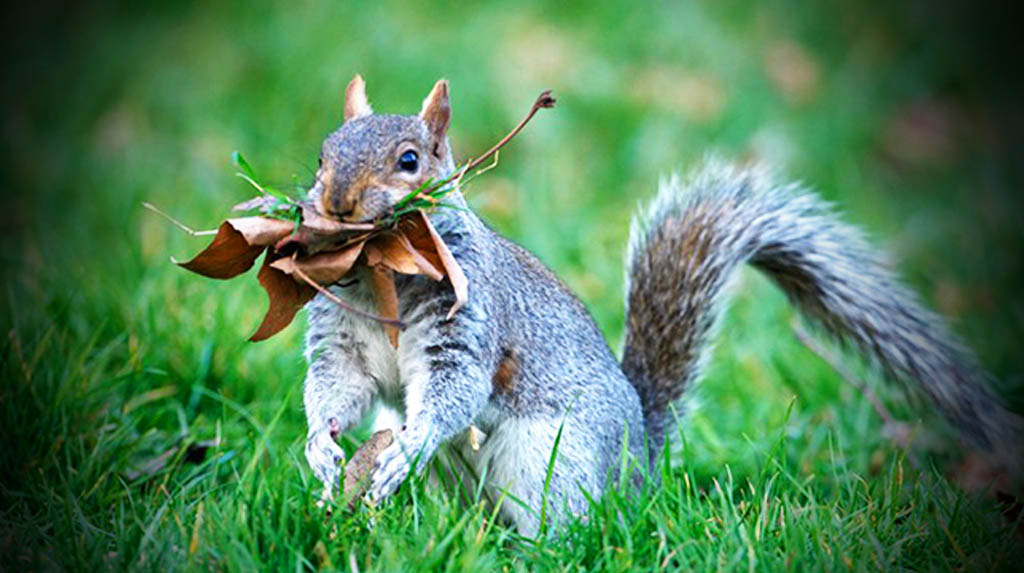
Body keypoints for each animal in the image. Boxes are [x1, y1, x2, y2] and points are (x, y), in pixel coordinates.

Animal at [300, 75, 1023, 535]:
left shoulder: (469, 321)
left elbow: (455, 390)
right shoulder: (341, 338)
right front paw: (321, 452)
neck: (383, 275)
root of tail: (639, 465)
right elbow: (338, 387)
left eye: (409, 160)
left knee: (563, 522)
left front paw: (405, 447)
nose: (335, 202)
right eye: (322, 154)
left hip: (554, 458)